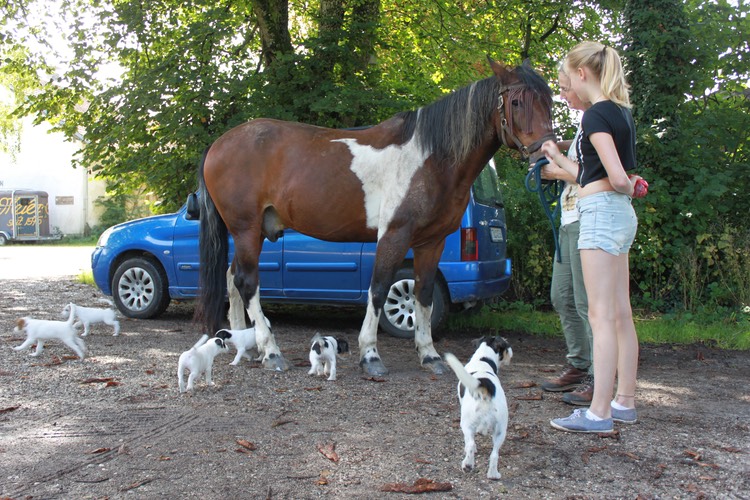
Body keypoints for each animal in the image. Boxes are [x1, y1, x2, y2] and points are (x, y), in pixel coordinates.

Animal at [197, 58, 556, 376]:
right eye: (516, 102)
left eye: (550, 101)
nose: (545, 156)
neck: (431, 159)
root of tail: (218, 144)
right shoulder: (395, 234)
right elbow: (379, 289)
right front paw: (370, 355)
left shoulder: (432, 242)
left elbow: (423, 295)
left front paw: (429, 355)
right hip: (245, 229)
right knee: (247, 282)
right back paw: (271, 352)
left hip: (254, 232)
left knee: (233, 278)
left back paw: (250, 348)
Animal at [444, 336, 516, 480]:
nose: (511, 352)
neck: (483, 360)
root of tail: (486, 386)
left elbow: (468, 442)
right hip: (500, 430)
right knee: (494, 454)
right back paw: (493, 474)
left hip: (466, 423)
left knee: (471, 445)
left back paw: (467, 465)